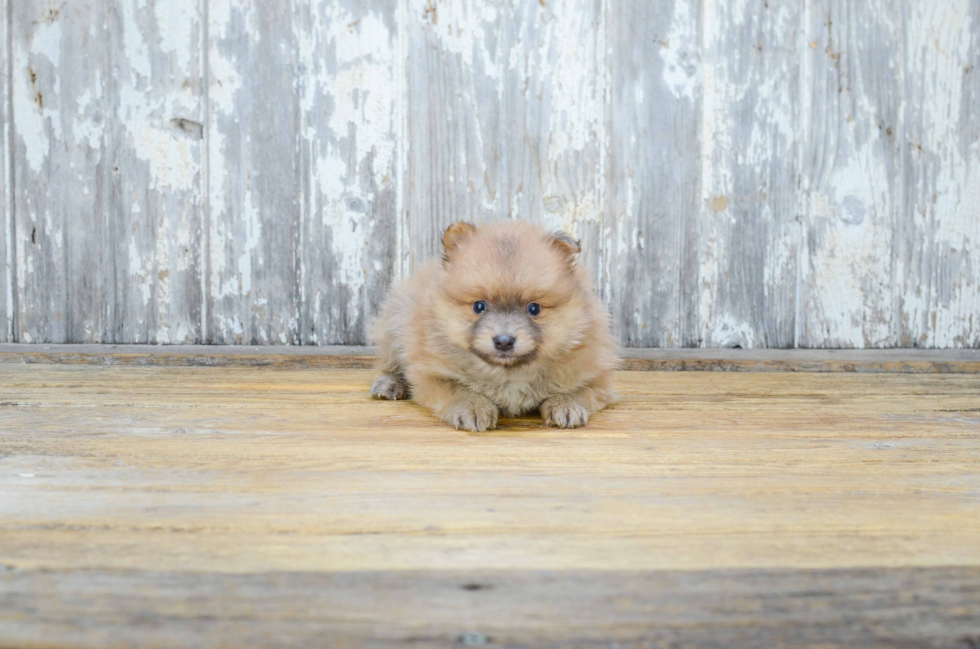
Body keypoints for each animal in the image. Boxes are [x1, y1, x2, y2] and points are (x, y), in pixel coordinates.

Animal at [372, 219, 616, 430]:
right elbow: (457, 389)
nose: (504, 341)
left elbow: (580, 389)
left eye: (534, 309)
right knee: (390, 364)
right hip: (397, 320)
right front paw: (473, 407)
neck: (508, 372)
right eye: (479, 306)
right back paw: (389, 385)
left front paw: (566, 405)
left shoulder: (598, 376)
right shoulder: (431, 373)